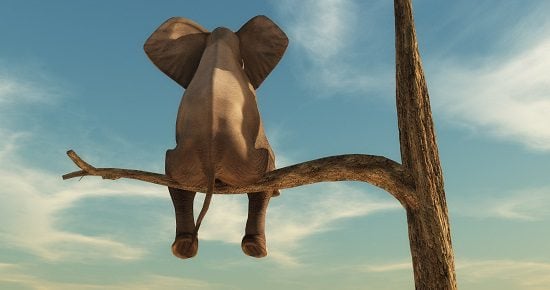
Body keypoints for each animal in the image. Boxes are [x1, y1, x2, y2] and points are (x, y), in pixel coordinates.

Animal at [143, 15, 288, 258]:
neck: (218, 41)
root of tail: (210, 158)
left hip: (183, 161)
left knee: (177, 184)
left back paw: (183, 247)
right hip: (246, 161)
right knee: (261, 180)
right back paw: (255, 249)